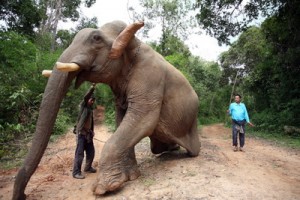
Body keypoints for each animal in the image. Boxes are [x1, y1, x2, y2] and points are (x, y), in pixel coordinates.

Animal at [12, 20, 199, 198]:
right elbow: (122, 118)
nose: (23, 195)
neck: (134, 42)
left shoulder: (150, 78)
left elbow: (144, 119)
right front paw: (131, 177)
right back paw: (170, 149)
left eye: (96, 39)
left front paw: (104, 188)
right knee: (157, 148)